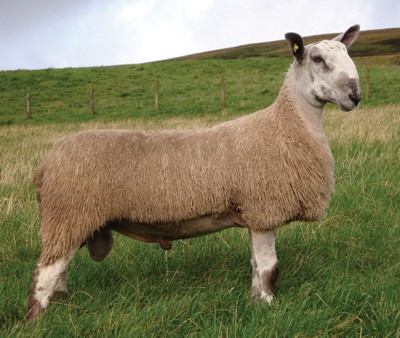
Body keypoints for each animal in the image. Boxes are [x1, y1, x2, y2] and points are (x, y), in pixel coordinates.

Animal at [26, 24, 360, 320]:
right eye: (317, 58)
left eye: (347, 53)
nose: (355, 96)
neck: (287, 125)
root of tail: (45, 164)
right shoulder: (264, 210)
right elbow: (269, 268)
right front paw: (269, 305)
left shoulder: (253, 214)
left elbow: (256, 266)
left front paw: (255, 301)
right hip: (68, 214)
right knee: (46, 270)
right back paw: (37, 318)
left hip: (73, 220)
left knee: (60, 268)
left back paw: (63, 301)